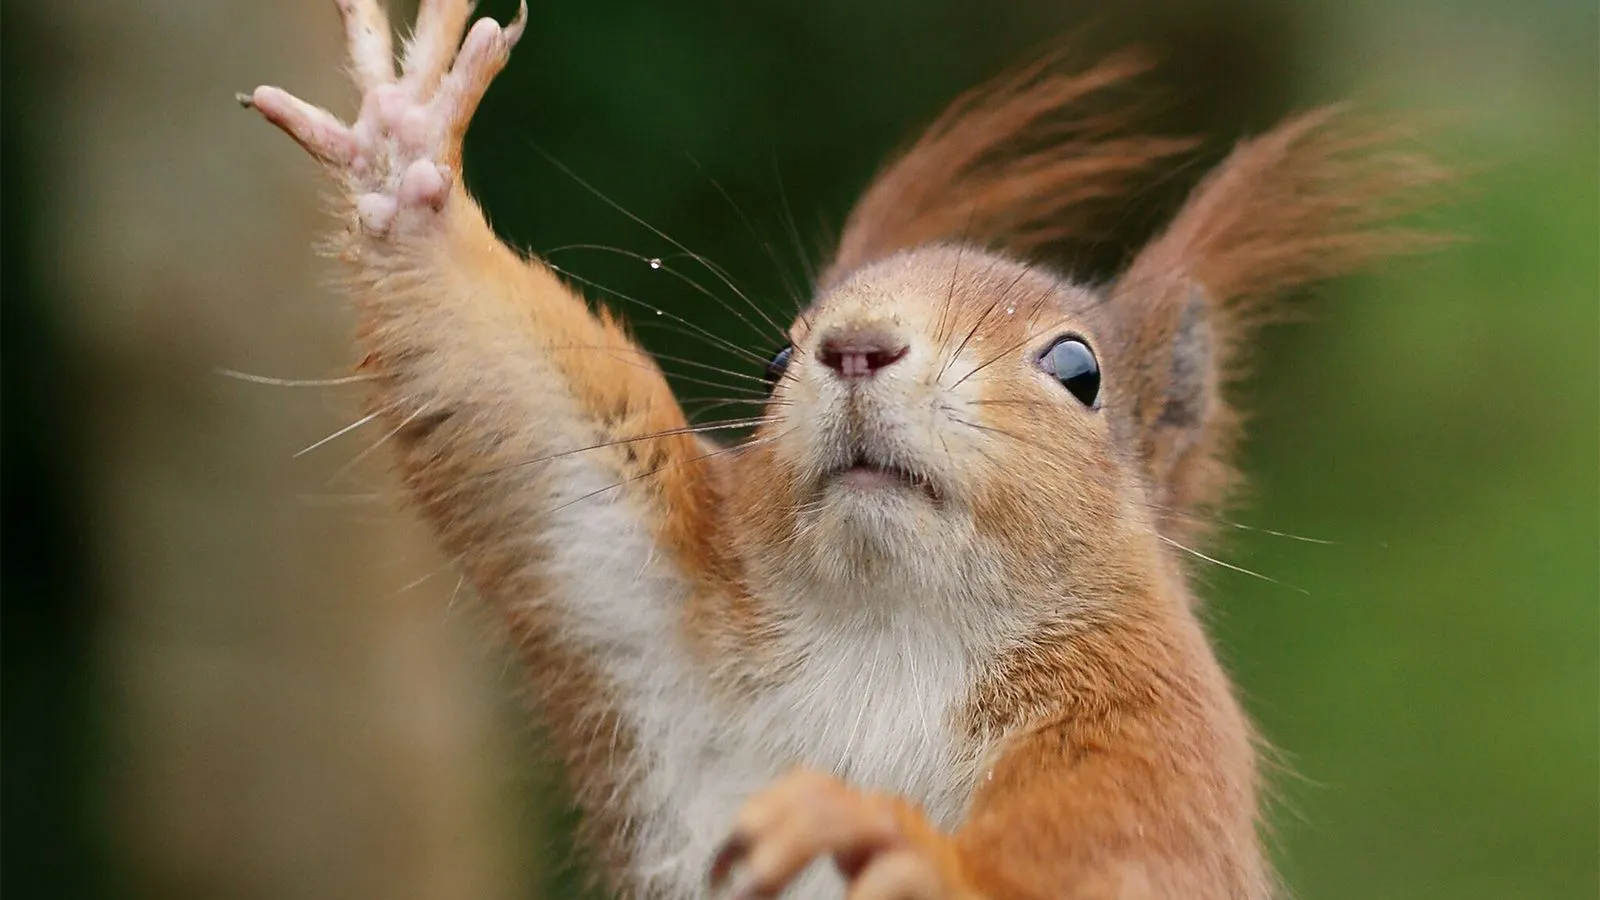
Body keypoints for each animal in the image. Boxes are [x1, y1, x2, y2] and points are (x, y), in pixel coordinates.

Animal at [242, 2, 1445, 898]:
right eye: (780, 355)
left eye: (1078, 370)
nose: (854, 346)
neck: (891, 628)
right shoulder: (637, 586)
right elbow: (509, 400)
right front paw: (405, 156)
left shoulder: (1153, 747)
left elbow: (1108, 873)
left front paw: (897, 847)